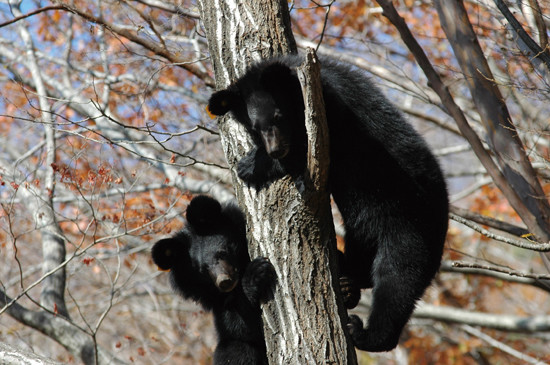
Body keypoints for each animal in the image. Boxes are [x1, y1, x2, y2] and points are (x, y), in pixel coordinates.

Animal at [152, 196, 276, 364]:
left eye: (222, 253)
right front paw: (255, 273)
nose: (224, 281)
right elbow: (241, 327)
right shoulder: (217, 302)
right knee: (237, 349)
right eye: (202, 270)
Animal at [209, 55, 450, 352]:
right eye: (254, 127)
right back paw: (347, 281)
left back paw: (366, 333)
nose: (276, 149)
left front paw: (252, 165)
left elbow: (308, 148)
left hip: (409, 226)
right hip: (366, 227)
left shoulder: (330, 113)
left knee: (397, 281)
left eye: (277, 116)